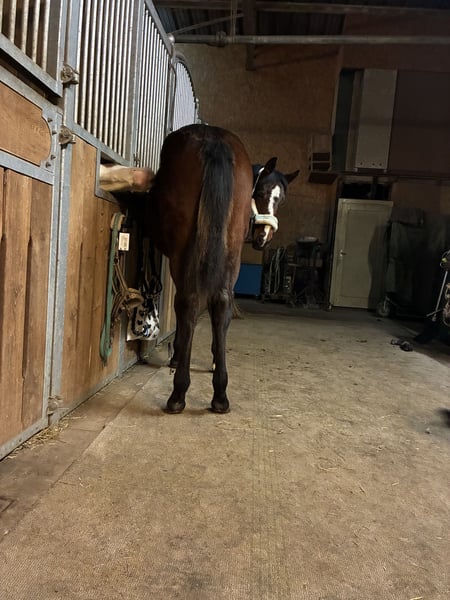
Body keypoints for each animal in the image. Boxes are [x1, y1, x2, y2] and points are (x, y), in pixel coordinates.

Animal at [143, 123, 298, 413]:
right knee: (221, 301)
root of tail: (215, 141)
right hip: (231, 253)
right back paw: (220, 394)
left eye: (281, 200)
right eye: (262, 193)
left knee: (189, 302)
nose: (264, 237)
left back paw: (178, 393)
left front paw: (178, 354)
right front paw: (215, 359)